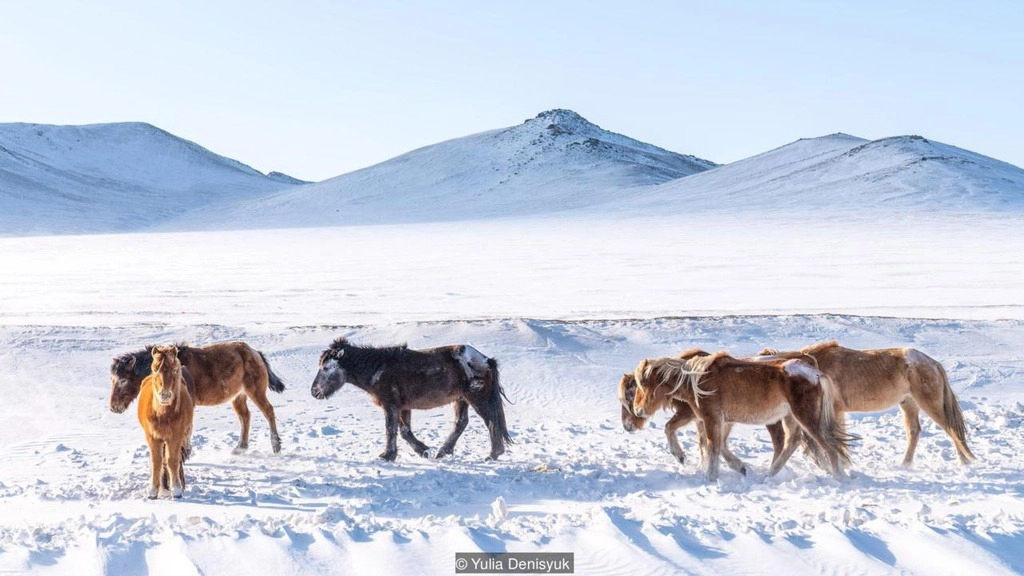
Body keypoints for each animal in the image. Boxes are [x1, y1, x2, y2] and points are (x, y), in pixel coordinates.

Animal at [110, 340, 286, 453]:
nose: (113, 407)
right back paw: (240, 447)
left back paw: (276, 446)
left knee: (268, 411)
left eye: (123, 380)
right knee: (245, 417)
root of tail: (256, 353)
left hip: (255, 391)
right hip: (238, 396)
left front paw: (186, 451)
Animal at [137, 344, 194, 498]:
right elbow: (156, 461)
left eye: (174, 369)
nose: (165, 395)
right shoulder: (152, 436)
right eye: (155, 369)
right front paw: (153, 491)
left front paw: (177, 489)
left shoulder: (175, 436)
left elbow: (172, 460)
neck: (162, 414)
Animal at [305, 338, 509, 459]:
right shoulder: (403, 407)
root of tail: (486, 360)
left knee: (490, 421)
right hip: (460, 399)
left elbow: (391, 429)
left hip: (476, 398)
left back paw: (493, 454)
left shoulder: (390, 405)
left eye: (325, 368)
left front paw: (387, 455)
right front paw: (423, 450)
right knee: (461, 423)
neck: (378, 369)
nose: (314, 391)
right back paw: (443, 452)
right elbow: (404, 431)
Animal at [630, 350, 847, 479]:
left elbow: (712, 447)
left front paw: (709, 477)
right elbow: (718, 446)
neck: (696, 380)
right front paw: (739, 467)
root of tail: (815, 373)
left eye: (642, 385)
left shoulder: (711, 419)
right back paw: (769, 475)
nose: (638, 411)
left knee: (828, 447)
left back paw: (838, 478)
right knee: (792, 442)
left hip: (805, 418)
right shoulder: (723, 422)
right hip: (790, 417)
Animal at [757, 338, 970, 463]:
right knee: (914, 432)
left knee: (951, 429)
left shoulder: (833, 411)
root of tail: (933, 363)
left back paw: (964, 461)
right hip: (909, 403)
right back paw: (905, 464)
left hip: (929, 404)